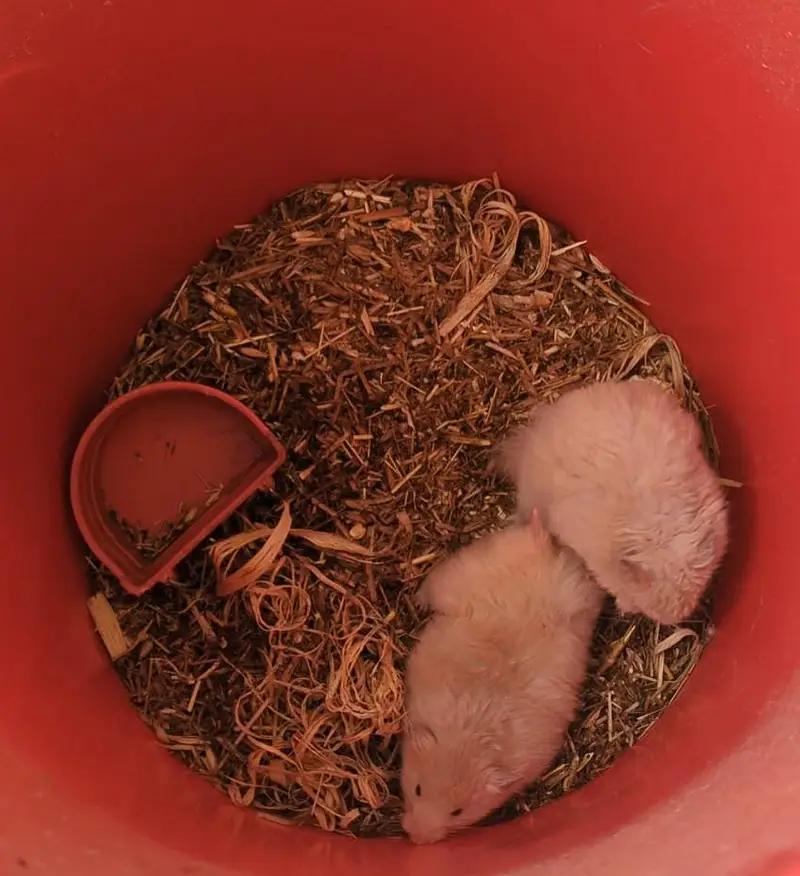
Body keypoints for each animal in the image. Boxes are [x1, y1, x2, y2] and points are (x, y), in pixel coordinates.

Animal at [400, 510, 603, 845]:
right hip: (459, 571)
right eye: (417, 789)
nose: (417, 839)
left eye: (458, 812)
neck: (471, 735)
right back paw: (416, 600)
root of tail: (539, 544)